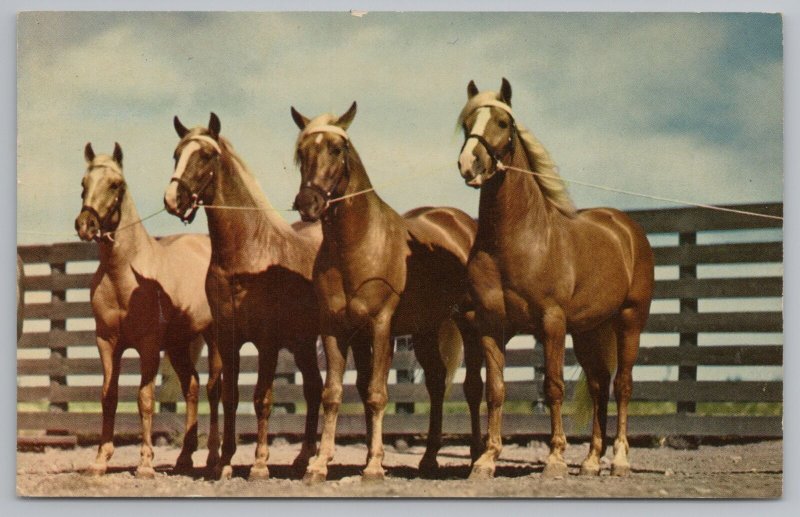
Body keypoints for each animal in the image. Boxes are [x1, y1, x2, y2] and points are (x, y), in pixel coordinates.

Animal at [74, 143, 222, 478]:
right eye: (84, 184)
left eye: (116, 184)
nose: (85, 225)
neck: (125, 274)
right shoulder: (107, 343)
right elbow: (109, 396)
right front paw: (100, 460)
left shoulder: (149, 346)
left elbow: (145, 398)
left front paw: (144, 463)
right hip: (180, 345)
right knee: (192, 387)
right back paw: (184, 458)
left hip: (213, 339)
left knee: (214, 388)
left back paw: (213, 458)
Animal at [162, 114, 322, 480]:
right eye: (176, 154)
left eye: (206, 155)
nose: (173, 199)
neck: (246, 254)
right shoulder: (227, 338)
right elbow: (230, 396)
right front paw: (224, 462)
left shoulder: (266, 342)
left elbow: (262, 398)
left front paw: (260, 464)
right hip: (304, 343)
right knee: (314, 388)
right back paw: (303, 458)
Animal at [290, 103, 484, 482]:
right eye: (301, 152)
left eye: (337, 148)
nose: (308, 203)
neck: (358, 245)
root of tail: (461, 223)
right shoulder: (336, 329)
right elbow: (334, 393)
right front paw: (320, 464)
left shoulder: (381, 328)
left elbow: (378, 394)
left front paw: (374, 465)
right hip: (425, 331)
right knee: (436, 383)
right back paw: (429, 459)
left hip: (468, 325)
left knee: (474, 387)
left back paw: (477, 456)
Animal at [456, 78, 656, 478]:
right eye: (467, 122)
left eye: (502, 122)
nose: (469, 164)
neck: (518, 240)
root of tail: (627, 230)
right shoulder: (491, 324)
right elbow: (495, 390)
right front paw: (486, 459)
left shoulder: (551, 322)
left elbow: (552, 387)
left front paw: (555, 458)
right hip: (590, 330)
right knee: (599, 386)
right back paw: (592, 461)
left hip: (629, 321)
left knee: (623, 385)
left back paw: (620, 460)